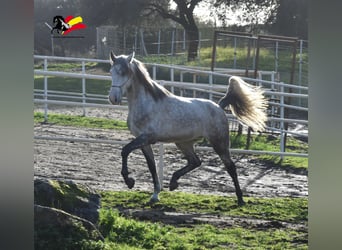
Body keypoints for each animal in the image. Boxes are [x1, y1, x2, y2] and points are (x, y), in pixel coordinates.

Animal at [107, 51, 268, 205]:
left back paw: (240, 199)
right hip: (184, 143)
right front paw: (154, 195)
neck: (146, 103)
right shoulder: (143, 142)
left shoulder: (147, 138)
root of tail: (218, 106)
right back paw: (173, 183)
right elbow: (151, 166)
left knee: (230, 167)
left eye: (124, 72)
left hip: (219, 143)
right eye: (111, 71)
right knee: (195, 161)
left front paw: (129, 182)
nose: (113, 98)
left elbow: (125, 150)